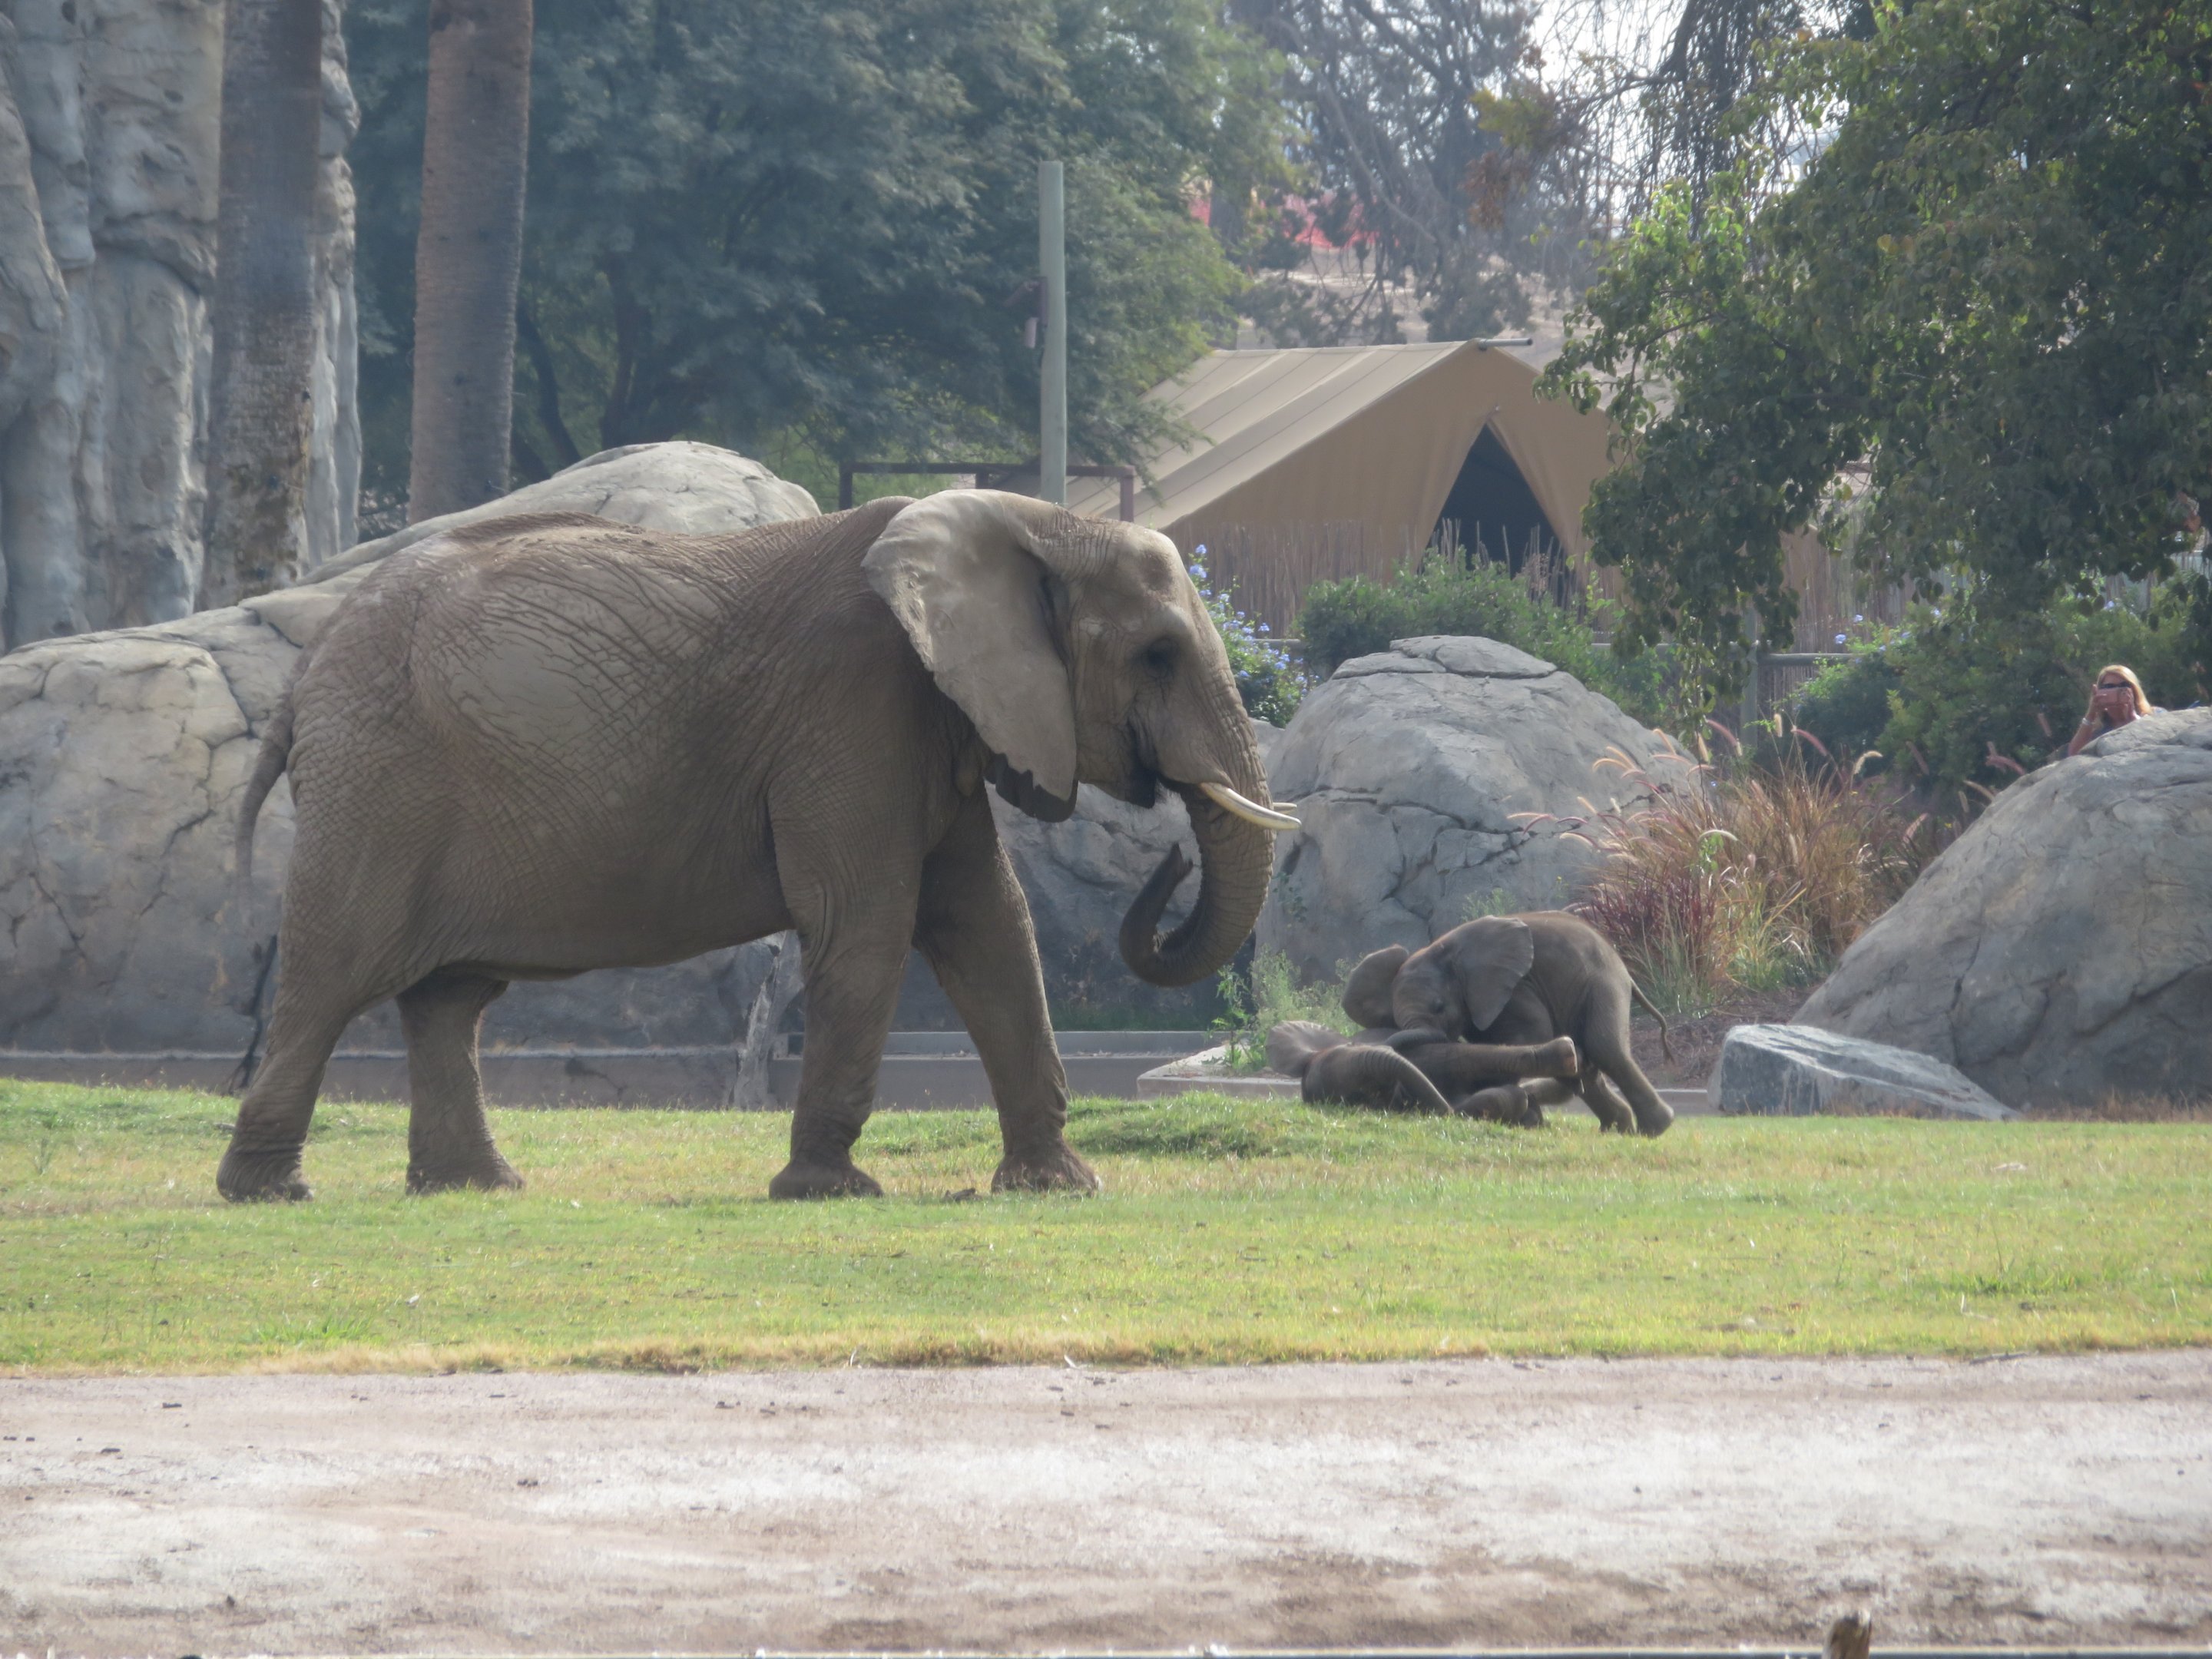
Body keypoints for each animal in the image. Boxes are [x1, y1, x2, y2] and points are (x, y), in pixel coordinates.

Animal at [218, 491, 1298, 1203]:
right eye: (1157, 655)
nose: (1171, 857)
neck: (1032, 519)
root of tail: (309, 673)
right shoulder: (852, 710)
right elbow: (869, 926)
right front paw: (828, 1190)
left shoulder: (927, 722)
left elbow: (990, 923)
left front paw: (1058, 1187)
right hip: (380, 782)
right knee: (332, 975)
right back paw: (267, 1193)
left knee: (447, 999)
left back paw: (478, 1189)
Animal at [1345, 911, 1676, 1137]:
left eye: (1439, 1007)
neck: (1444, 952)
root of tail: (1625, 970)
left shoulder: (1514, 988)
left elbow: (1527, 1038)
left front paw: (1528, 1119)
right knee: (1592, 1064)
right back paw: (1616, 1127)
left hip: (1602, 983)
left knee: (1605, 1047)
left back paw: (1654, 1129)